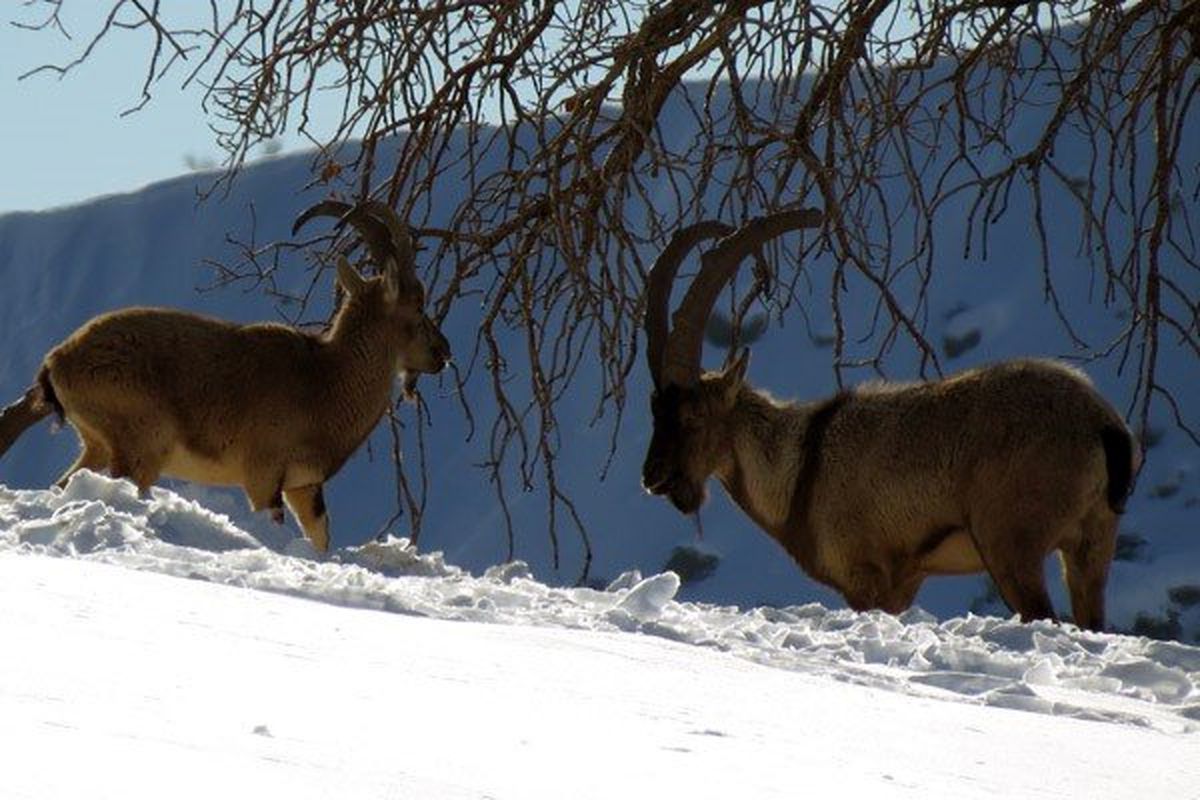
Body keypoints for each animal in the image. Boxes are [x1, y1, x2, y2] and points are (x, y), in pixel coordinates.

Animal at [0, 200, 451, 554]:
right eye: (417, 307)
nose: (443, 353)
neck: (326, 381)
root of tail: (58, 361)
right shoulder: (262, 475)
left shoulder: (304, 486)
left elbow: (320, 538)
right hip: (141, 445)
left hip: (97, 445)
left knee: (63, 482)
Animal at [638, 212, 1132, 633]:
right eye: (654, 408)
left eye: (694, 415)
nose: (653, 476)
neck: (800, 468)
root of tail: (1101, 424)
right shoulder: (903, 584)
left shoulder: (864, 577)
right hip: (1092, 541)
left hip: (1012, 543)